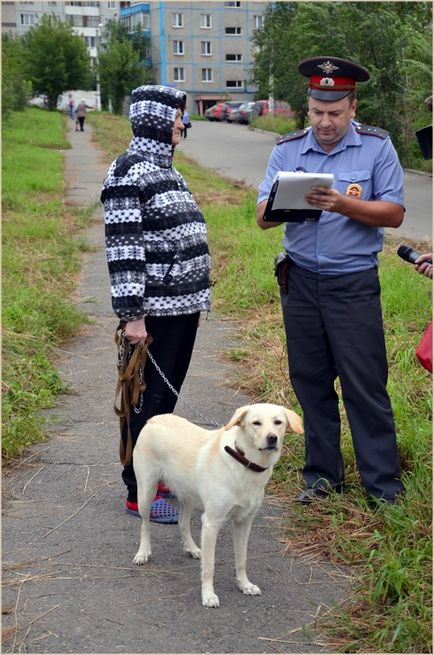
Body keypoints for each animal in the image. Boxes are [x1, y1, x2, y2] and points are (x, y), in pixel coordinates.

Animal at [134, 404, 304, 608]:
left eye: (278, 422)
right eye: (256, 423)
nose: (272, 438)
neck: (246, 463)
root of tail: (155, 419)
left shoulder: (244, 523)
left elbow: (241, 560)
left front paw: (244, 585)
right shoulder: (211, 523)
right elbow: (209, 567)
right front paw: (208, 595)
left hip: (188, 496)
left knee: (183, 523)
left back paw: (192, 548)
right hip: (146, 493)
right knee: (145, 525)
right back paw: (143, 553)